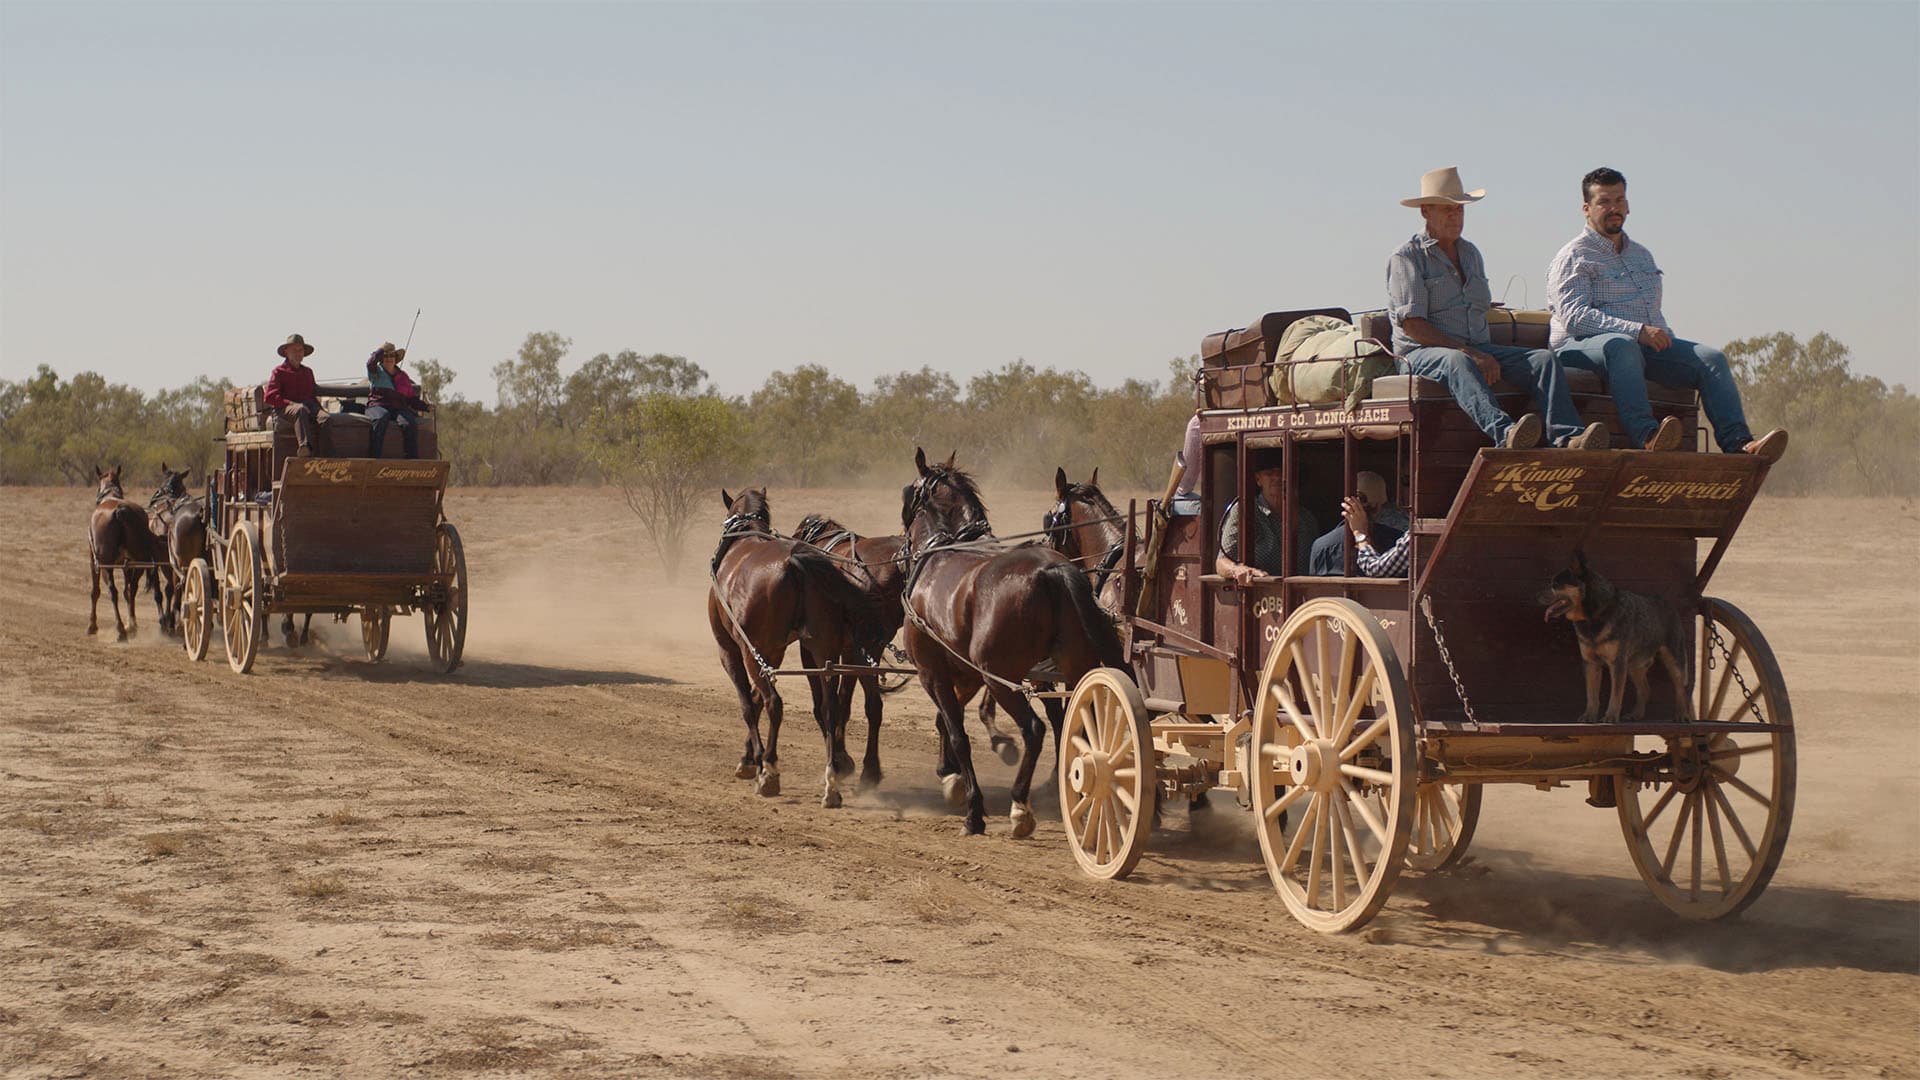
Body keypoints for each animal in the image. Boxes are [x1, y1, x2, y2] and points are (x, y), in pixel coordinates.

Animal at [86, 465, 165, 638]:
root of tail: (119, 511)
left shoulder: (94, 562)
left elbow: (95, 591)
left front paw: (92, 625)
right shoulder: (126, 564)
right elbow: (128, 591)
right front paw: (132, 623)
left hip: (108, 565)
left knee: (113, 592)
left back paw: (121, 628)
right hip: (140, 559)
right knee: (138, 586)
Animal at [714, 486, 890, 799]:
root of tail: (793, 562)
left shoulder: (731, 650)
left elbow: (748, 703)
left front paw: (754, 761)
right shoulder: (774, 653)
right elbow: (757, 700)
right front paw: (750, 758)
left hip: (752, 651)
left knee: (775, 703)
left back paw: (770, 770)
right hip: (822, 652)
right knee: (832, 708)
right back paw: (834, 777)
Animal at [787, 507, 906, 787]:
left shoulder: (813, 651)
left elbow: (824, 704)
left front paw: (839, 759)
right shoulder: (851, 651)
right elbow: (843, 702)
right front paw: (842, 756)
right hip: (868, 649)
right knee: (873, 706)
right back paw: (869, 770)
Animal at [898, 445, 1121, 834]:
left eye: (909, 494)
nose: (902, 541)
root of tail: (1053, 569)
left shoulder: (933, 673)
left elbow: (958, 733)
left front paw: (972, 807)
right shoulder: (966, 673)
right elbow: (946, 720)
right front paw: (950, 775)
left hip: (1002, 678)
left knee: (1034, 729)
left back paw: (1021, 805)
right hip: (1073, 668)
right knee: (1080, 726)